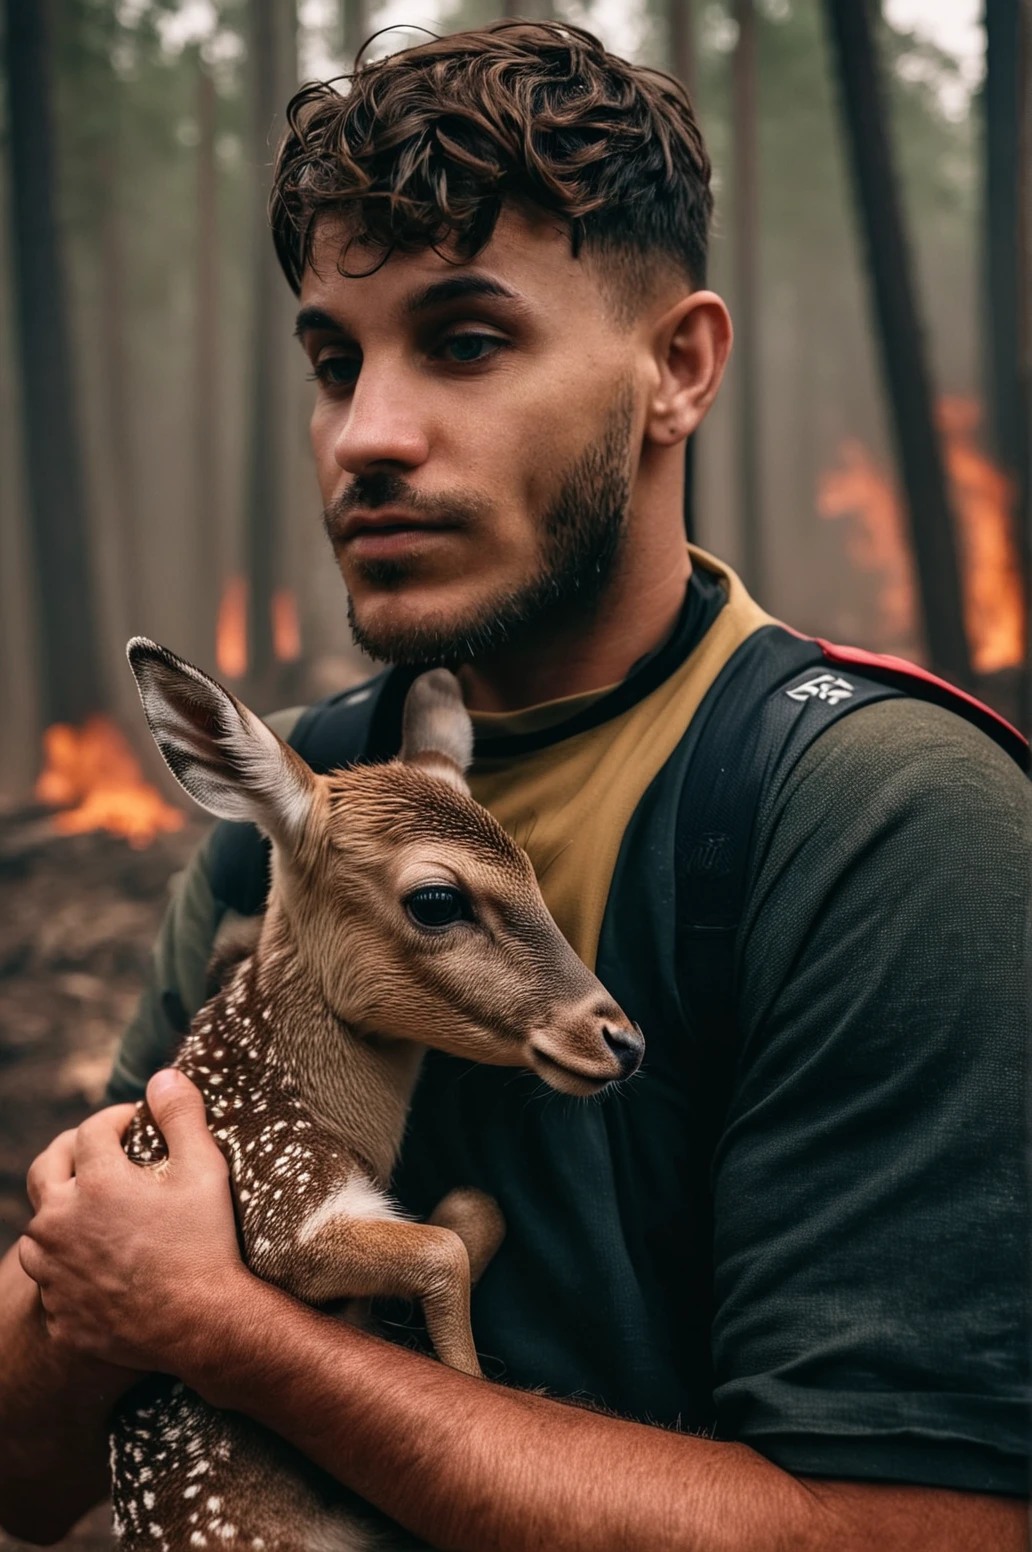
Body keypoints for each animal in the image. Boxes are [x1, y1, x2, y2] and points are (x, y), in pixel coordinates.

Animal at [114, 642, 645, 1552]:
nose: (621, 1039)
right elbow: (440, 1248)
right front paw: (472, 1384)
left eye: (535, 872)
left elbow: (470, 1210)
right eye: (437, 899)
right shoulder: (279, 1203)